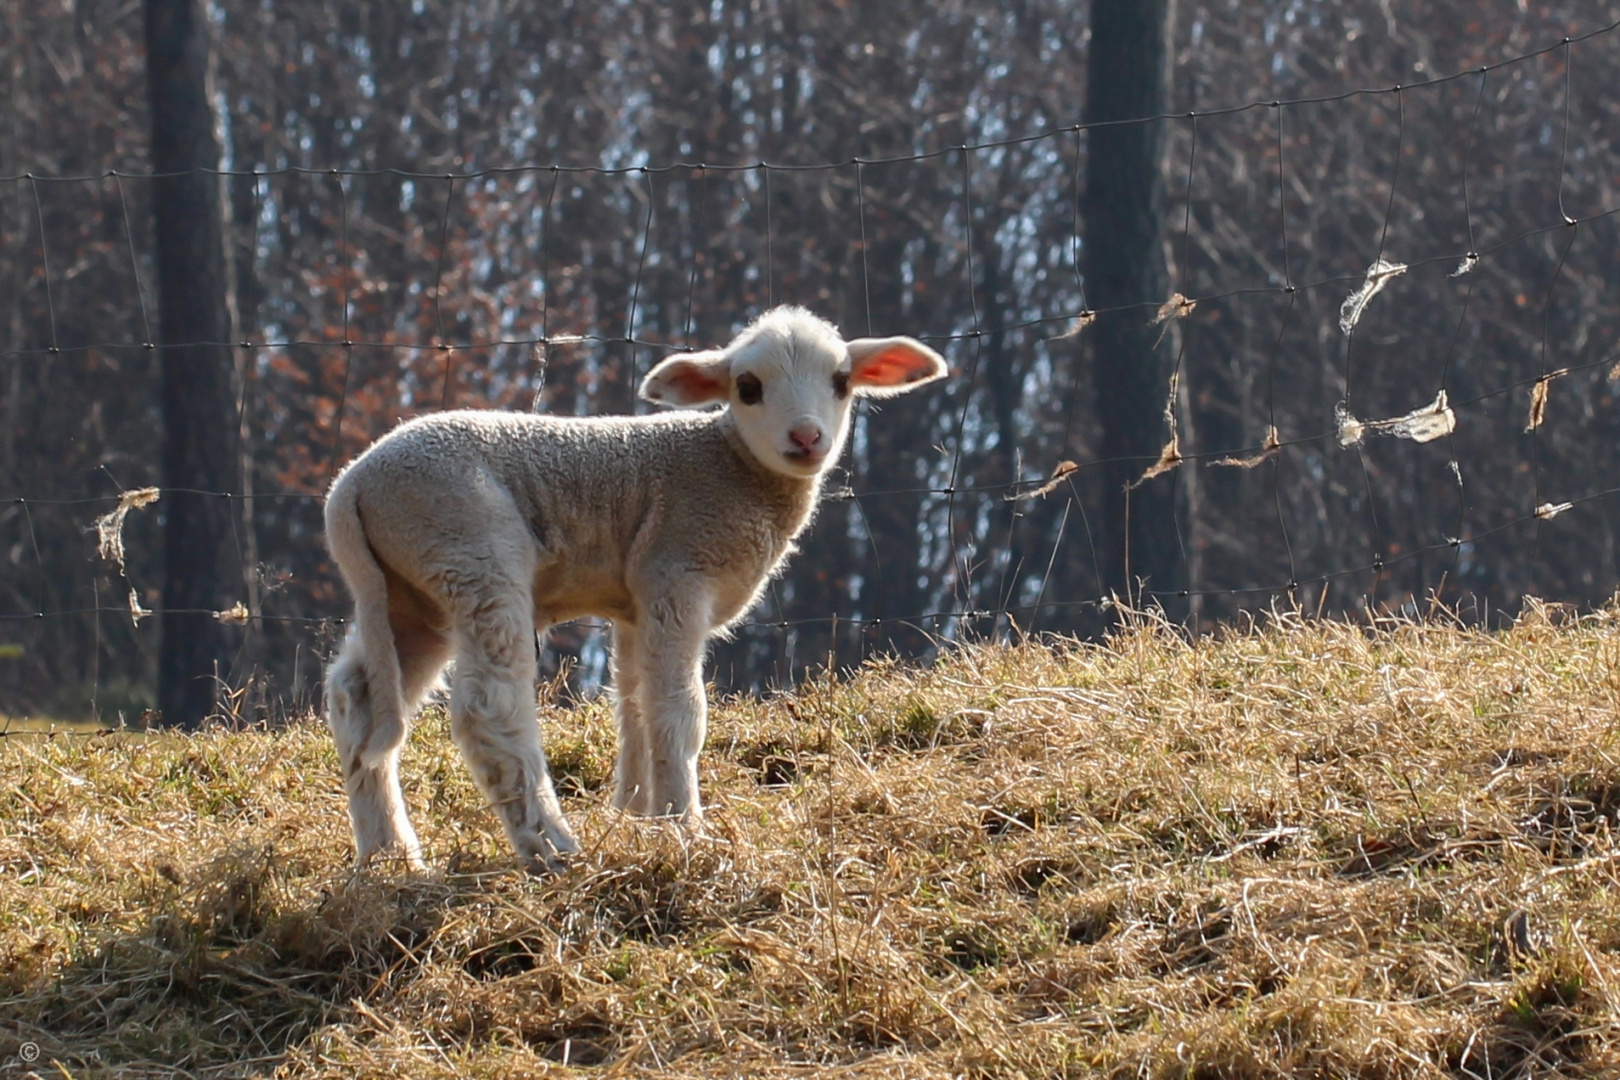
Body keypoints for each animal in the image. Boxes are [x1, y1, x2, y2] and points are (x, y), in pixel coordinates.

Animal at [320, 304, 946, 867]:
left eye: (841, 381)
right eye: (748, 388)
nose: (807, 437)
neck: (730, 466)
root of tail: (351, 486)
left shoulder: (636, 605)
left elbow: (635, 707)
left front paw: (636, 817)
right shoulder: (677, 570)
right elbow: (677, 709)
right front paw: (684, 828)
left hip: (407, 594)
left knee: (357, 699)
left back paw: (390, 857)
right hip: (470, 548)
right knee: (489, 709)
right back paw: (551, 847)